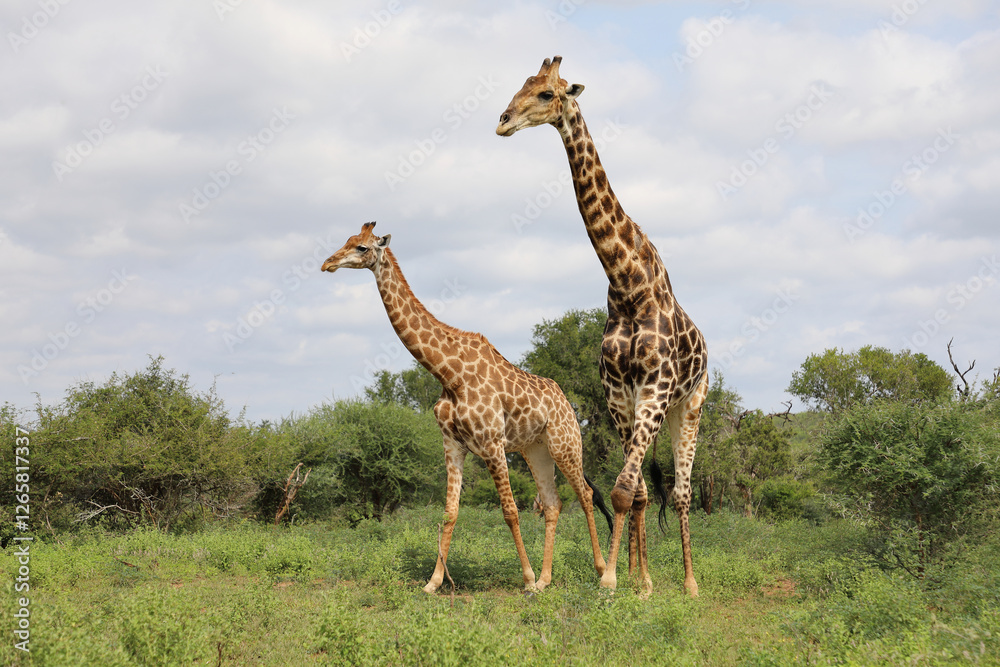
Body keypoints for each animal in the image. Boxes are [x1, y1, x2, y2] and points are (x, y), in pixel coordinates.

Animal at [321, 222, 613, 593]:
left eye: (361, 247)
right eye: (346, 240)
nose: (327, 263)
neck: (449, 373)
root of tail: (566, 402)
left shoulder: (491, 442)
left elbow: (509, 511)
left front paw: (526, 578)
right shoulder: (453, 444)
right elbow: (450, 513)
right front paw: (433, 582)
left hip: (565, 444)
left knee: (586, 495)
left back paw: (599, 570)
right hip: (536, 449)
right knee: (552, 503)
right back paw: (546, 580)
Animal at [497, 57, 709, 597]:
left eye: (547, 93)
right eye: (522, 85)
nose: (503, 121)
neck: (627, 282)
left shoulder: (656, 389)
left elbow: (622, 490)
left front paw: (611, 579)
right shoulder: (618, 396)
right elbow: (630, 492)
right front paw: (634, 578)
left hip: (689, 406)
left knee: (682, 493)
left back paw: (690, 583)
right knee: (650, 491)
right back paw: (647, 576)